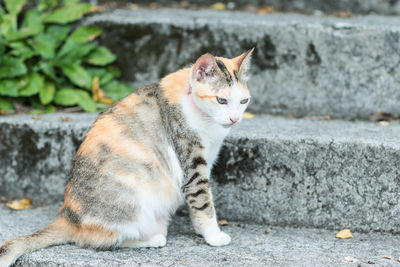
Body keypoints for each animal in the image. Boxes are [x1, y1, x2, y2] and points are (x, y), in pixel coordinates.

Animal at [0, 48, 253, 267]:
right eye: (221, 100)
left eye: (243, 102)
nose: (234, 119)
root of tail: (68, 216)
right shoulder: (192, 163)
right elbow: (203, 201)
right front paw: (214, 236)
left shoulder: (205, 160)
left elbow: (197, 205)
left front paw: (202, 232)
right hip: (134, 202)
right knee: (98, 241)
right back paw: (153, 240)